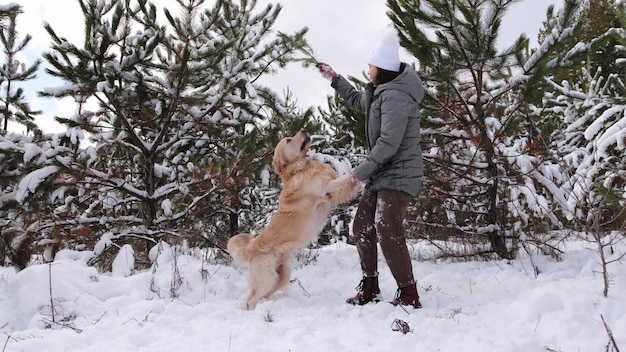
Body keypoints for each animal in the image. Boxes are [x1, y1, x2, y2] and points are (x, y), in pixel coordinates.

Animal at [227, 131, 358, 310]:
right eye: (289, 140)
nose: (304, 131)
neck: (299, 169)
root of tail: (251, 249)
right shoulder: (326, 187)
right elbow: (343, 179)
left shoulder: (333, 194)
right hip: (267, 279)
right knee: (250, 300)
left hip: (281, 276)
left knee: (260, 296)